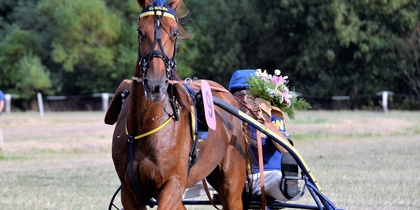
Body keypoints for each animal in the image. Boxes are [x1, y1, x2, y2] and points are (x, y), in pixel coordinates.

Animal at [105, 0, 248, 209]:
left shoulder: (172, 184)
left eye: (174, 32)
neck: (148, 123)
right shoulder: (129, 192)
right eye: (140, 31)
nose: (155, 84)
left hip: (231, 183)